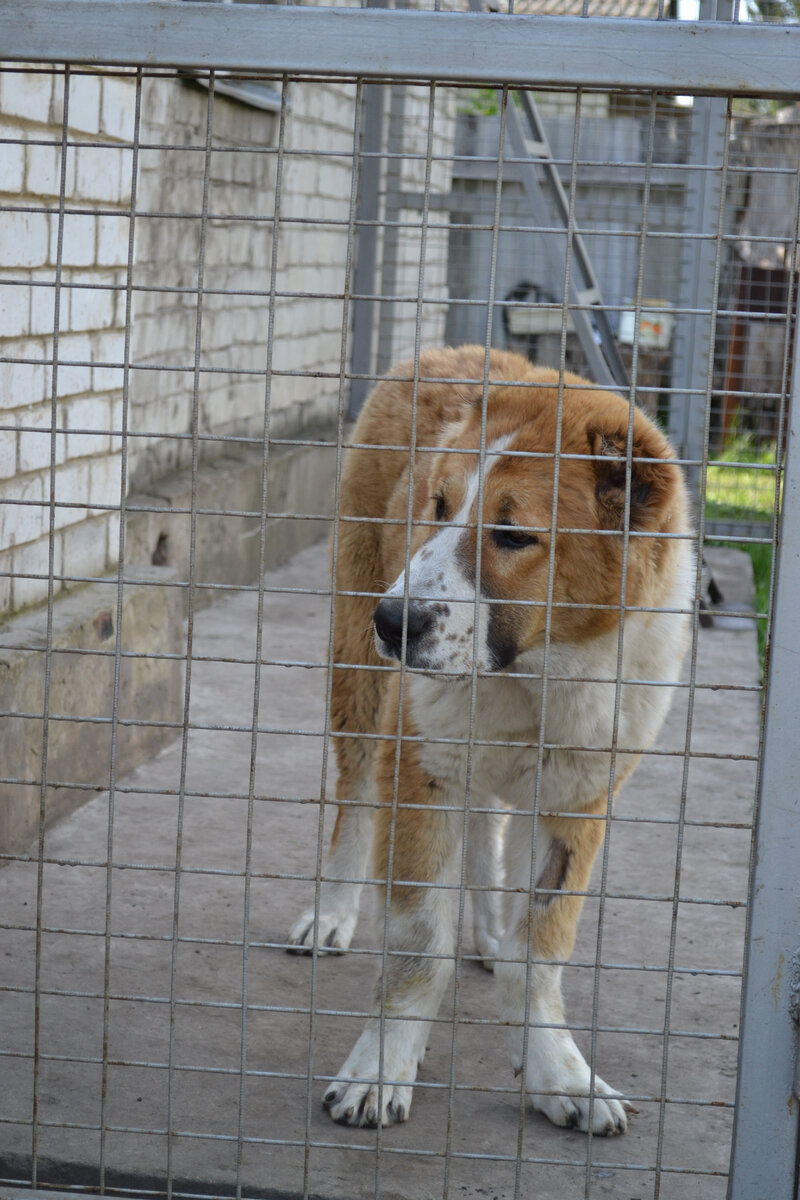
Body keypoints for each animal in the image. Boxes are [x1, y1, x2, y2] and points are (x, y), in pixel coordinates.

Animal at [287, 345, 695, 1132]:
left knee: (484, 828)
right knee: (355, 798)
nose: (393, 622)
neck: (538, 671)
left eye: (513, 535)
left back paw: (488, 934)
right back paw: (333, 913)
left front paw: (558, 1073)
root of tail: (442, 350)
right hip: (360, 678)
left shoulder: (577, 800)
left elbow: (542, 947)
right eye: (439, 508)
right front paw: (380, 1069)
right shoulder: (420, 766)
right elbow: (419, 947)